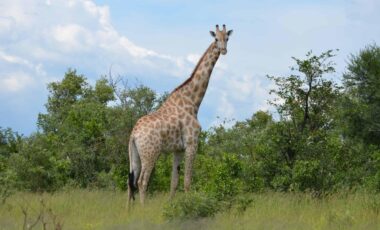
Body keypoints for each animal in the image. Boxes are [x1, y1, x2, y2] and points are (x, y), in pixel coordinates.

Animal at [127, 24, 232, 205]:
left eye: (227, 38)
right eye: (215, 38)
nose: (224, 50)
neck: (193, 101)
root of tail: (134, 134)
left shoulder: (178, 149)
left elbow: (174, 182)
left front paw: (171, 205)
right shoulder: (192, 143)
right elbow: (187, 181)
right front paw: (189, 205)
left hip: (134, 155)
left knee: (130, 182)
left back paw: (128, 210)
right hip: (150, 153)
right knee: (142, 181)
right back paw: (142, 208)